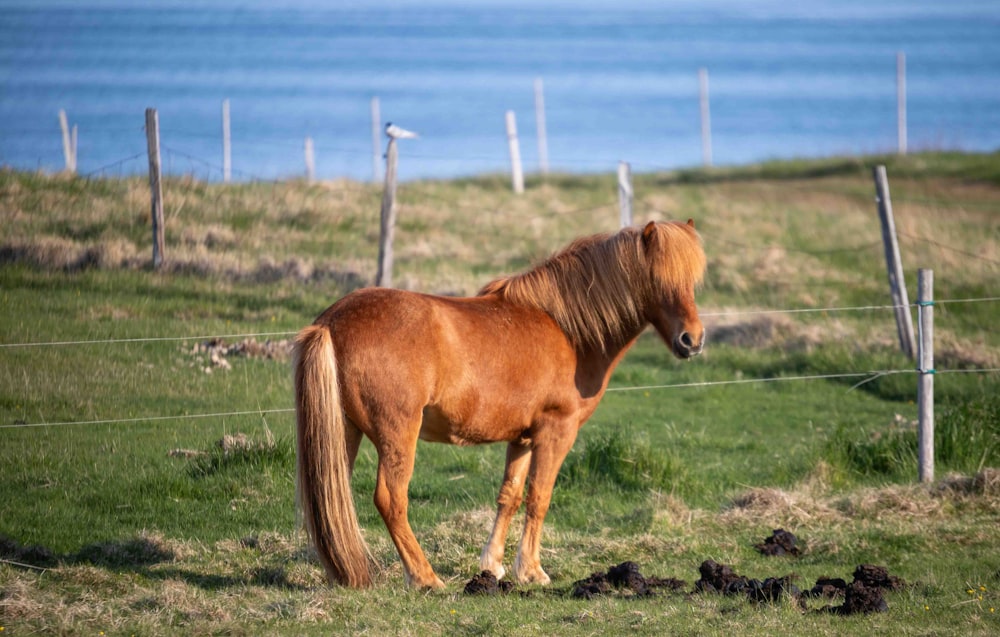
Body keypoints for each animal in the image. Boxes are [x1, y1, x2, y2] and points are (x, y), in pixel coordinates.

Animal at [292, 219, 708, 588]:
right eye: (658, 280)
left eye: (693, 283)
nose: (692, 340)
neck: (566, 330)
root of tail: (330, 323)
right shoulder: (556, 432)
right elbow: (540, 497)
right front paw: (532, 571)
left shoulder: (522, 438)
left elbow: (510, 496)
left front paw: (492, 566)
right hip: (397, 434)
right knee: (390, 499)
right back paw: (425, 578)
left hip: (343, 431)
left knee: (332, 497)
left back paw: (346, 572)